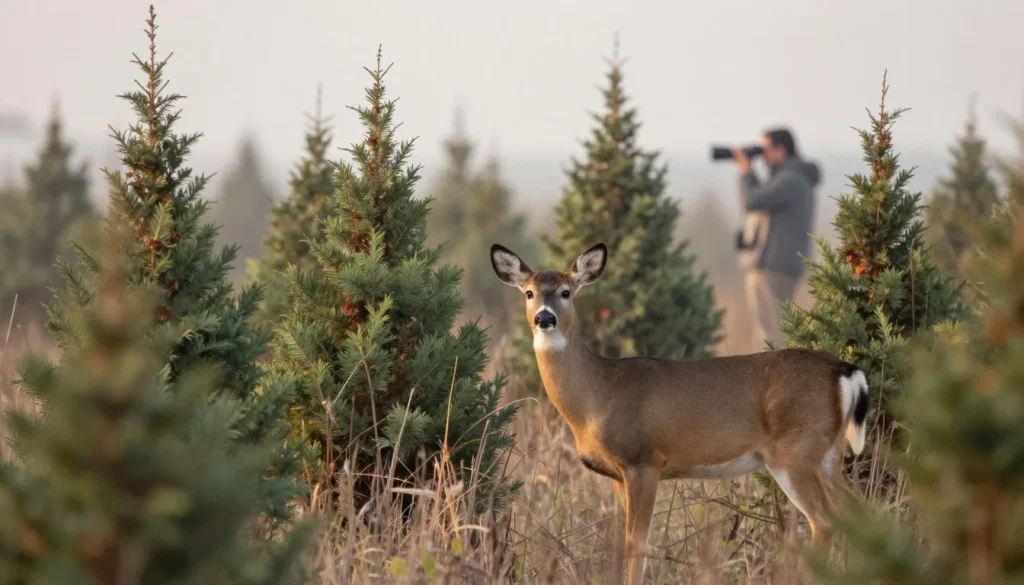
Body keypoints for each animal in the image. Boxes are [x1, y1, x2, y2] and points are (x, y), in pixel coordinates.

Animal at [490, 242, 869, 585]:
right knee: (859, 513)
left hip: (796, 453)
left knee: (825, 521)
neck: (597, 395)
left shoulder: (643, 461)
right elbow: (621, 543)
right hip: (828, 454)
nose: (544, 318)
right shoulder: (617, 475)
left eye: (566, 292)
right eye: (528, 293)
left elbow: (636, 545)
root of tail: (846, 372)